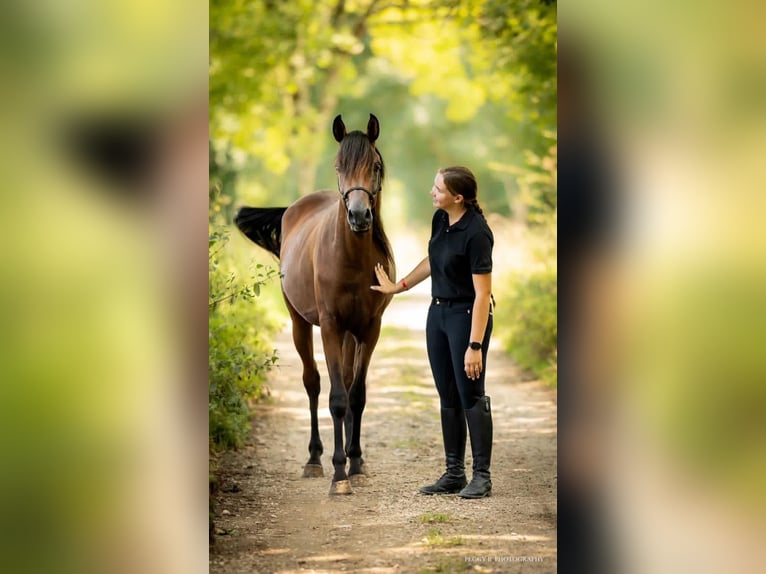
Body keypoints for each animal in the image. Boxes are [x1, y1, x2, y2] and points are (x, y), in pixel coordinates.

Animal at [235, 114, 395, 495]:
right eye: (339, 166)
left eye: (375, 166)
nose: (359, 217)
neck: (351, 259)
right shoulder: (331, 327)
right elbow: (336, 398)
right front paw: (339, 475)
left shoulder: (370, 329)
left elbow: (356, 395)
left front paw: (355, 463)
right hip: (300, 323)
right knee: (313, 383)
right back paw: (314, 459)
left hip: (350, 334)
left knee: (348, 385)